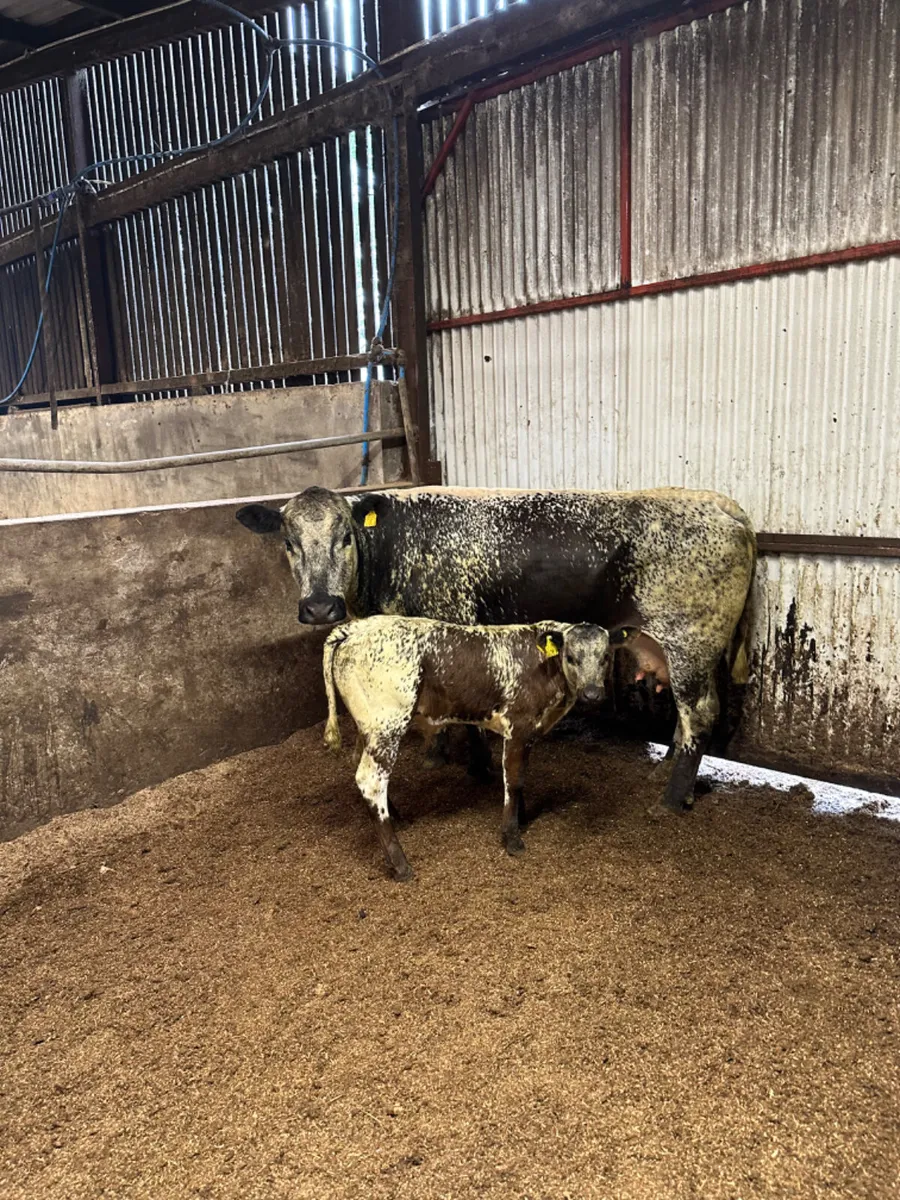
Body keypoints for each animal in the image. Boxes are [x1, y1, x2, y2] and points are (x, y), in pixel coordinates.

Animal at [236, 485, 756, 812]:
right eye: (288, 543)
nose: (320, 606)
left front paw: (474, 765)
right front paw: (441, 755)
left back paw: (671, 799)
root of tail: (721, 504)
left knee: (699, 715)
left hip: (690, 642)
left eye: (346, 536)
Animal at [322, 615, 623, 879]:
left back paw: (396, 818)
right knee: (371, 781)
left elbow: (520, 777)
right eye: (571, 658)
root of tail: (356, 627)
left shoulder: (527, 734)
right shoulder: (518, 726)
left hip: (368, 730)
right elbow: (513, 779)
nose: (592, 693)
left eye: (605, 658)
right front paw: (512, 837)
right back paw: (401, 865)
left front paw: (522, 818)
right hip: (387, 725)